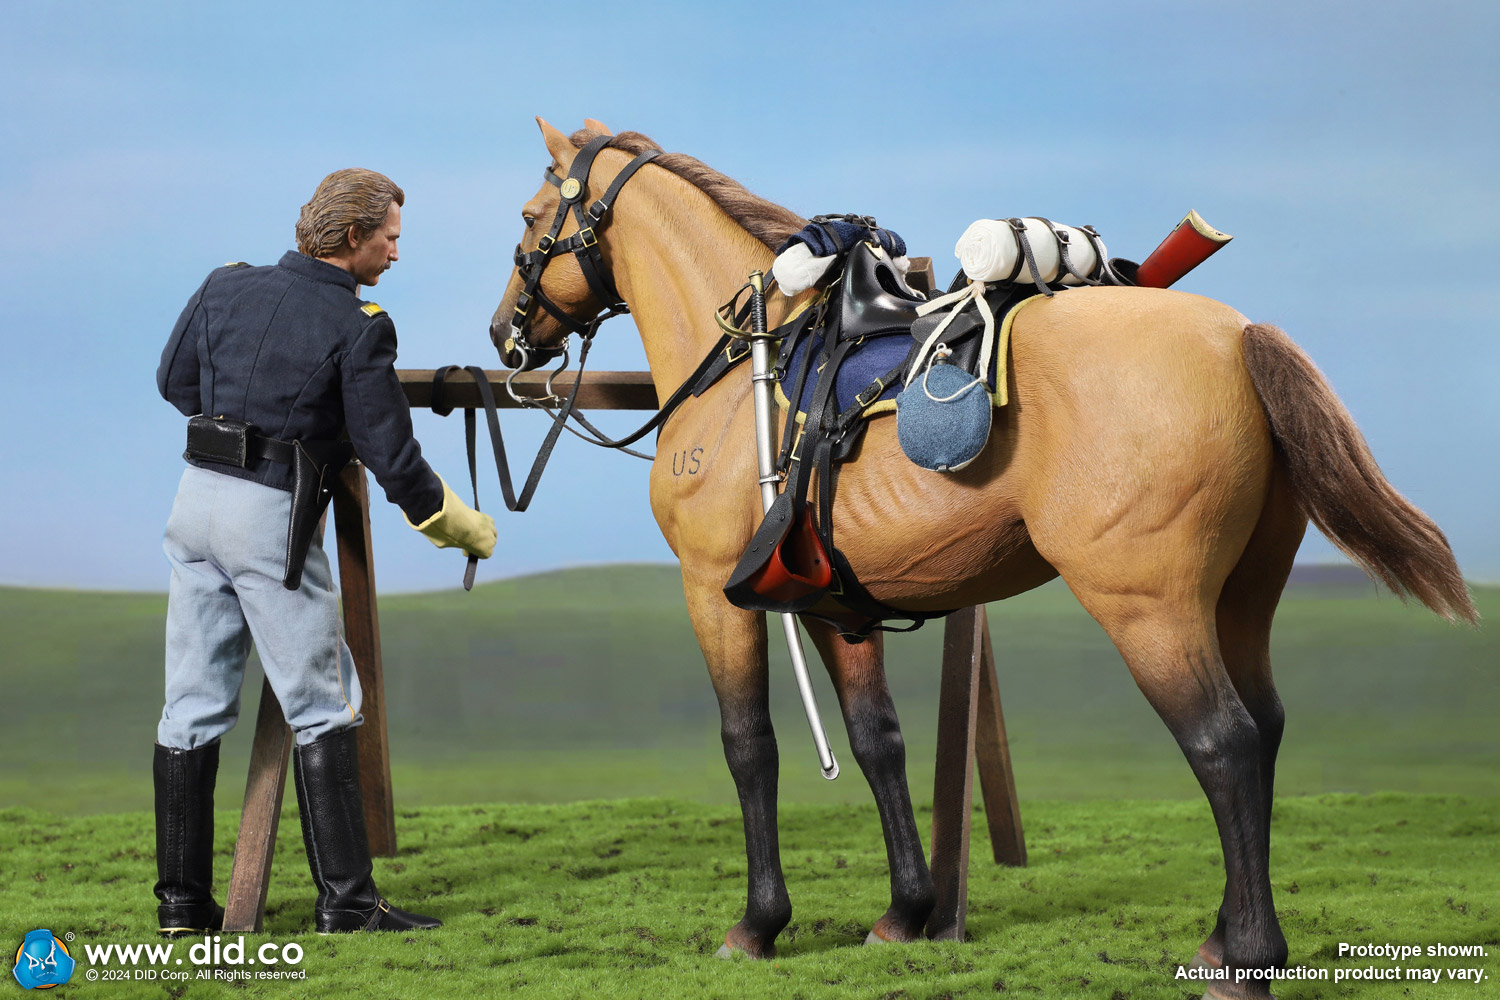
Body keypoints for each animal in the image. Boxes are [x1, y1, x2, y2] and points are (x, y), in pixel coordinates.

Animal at [487, 118, 1475, 1000]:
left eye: (533, 216)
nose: (507, 335)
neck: (742, 370)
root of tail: (1235, 335)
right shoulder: (838, 604)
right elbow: (878, 741)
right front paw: (903, 913)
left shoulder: (711, 593)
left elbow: (749, 746)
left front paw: (758, 925)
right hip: (1242, 599)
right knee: (1263, 731)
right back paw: (1218, 940)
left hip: (1148, 606)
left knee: (1224, 743)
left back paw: (1247, 965)